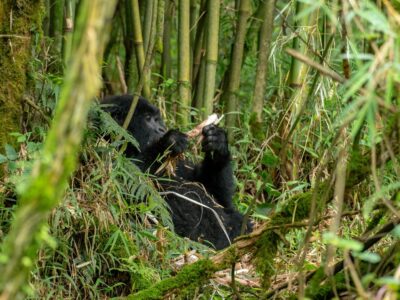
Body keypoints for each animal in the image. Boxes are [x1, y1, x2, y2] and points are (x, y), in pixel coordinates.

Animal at [101, 95, 250, 250]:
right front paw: (168, 142)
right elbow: (129, 184)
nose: (162, 129)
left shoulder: (182, 163)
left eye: (157, 119)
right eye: (147, 119)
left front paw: (218, 143)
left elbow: (220, 199)